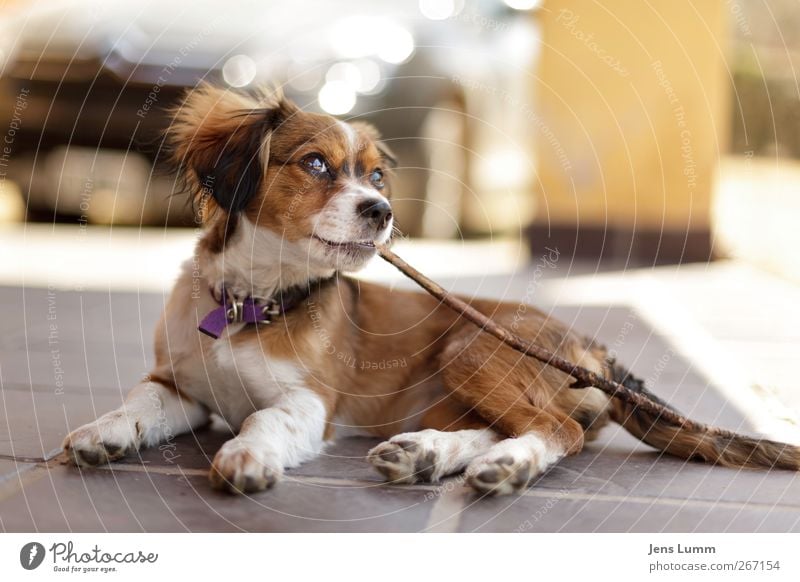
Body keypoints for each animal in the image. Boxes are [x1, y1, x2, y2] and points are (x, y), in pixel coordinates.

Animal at [64, 86, 800, 498]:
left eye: (376, 177)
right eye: (315, 164)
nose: (382, 213)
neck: (254, 303)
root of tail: (592, 345)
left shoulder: (310, 404)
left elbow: (260, 420)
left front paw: (245, 455)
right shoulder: (180, 385)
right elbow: (139, 404)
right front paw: (103, 434)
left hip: (471, 348)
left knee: (557, 430)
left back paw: (505, 468)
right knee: (506, 427)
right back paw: (427, 454)